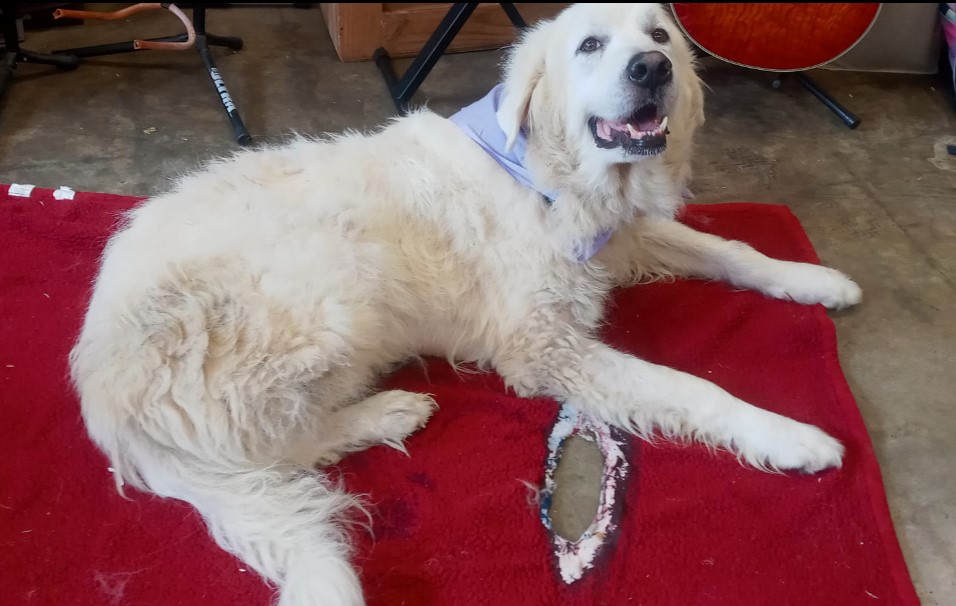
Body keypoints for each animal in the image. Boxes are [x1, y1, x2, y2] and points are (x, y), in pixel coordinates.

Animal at [67, 2, 860, 604]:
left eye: (659, 36)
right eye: (591, 46)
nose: (651, 69)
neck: (551, 177)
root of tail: (103, 394)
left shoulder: (623, 239)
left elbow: (731, 249)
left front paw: (817, 280)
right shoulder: (543, 348)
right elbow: (689, 387)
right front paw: (789, 436)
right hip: (332, 294)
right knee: (280, 450)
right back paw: (387, 412)